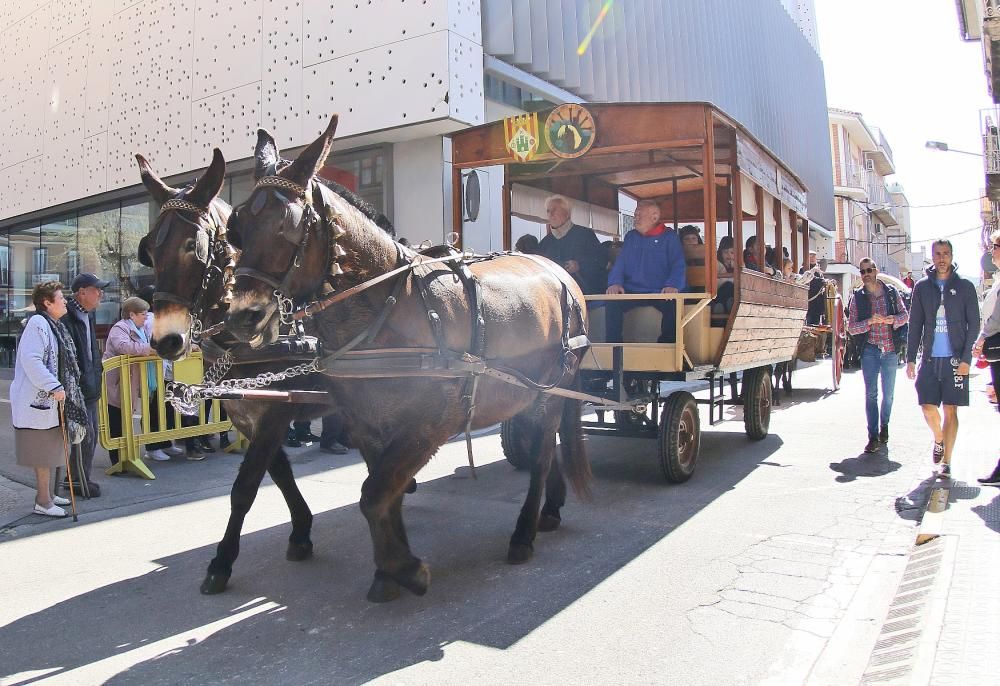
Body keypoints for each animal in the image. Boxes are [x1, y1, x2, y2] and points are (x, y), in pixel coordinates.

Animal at [227, 115, 592, 604]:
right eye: (237, 225)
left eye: (288, 224)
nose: (241, 317)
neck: (389, 307)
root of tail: (559, 271)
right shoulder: (365, 423)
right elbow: (384, 492)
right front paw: (391, 567)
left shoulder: (432, 421)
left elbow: (374, 493)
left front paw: (405, 569)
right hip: (529, 393)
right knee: (544, 447)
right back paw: (549, 509)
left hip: (554, 389)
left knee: (542, 454)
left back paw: (524, 533)